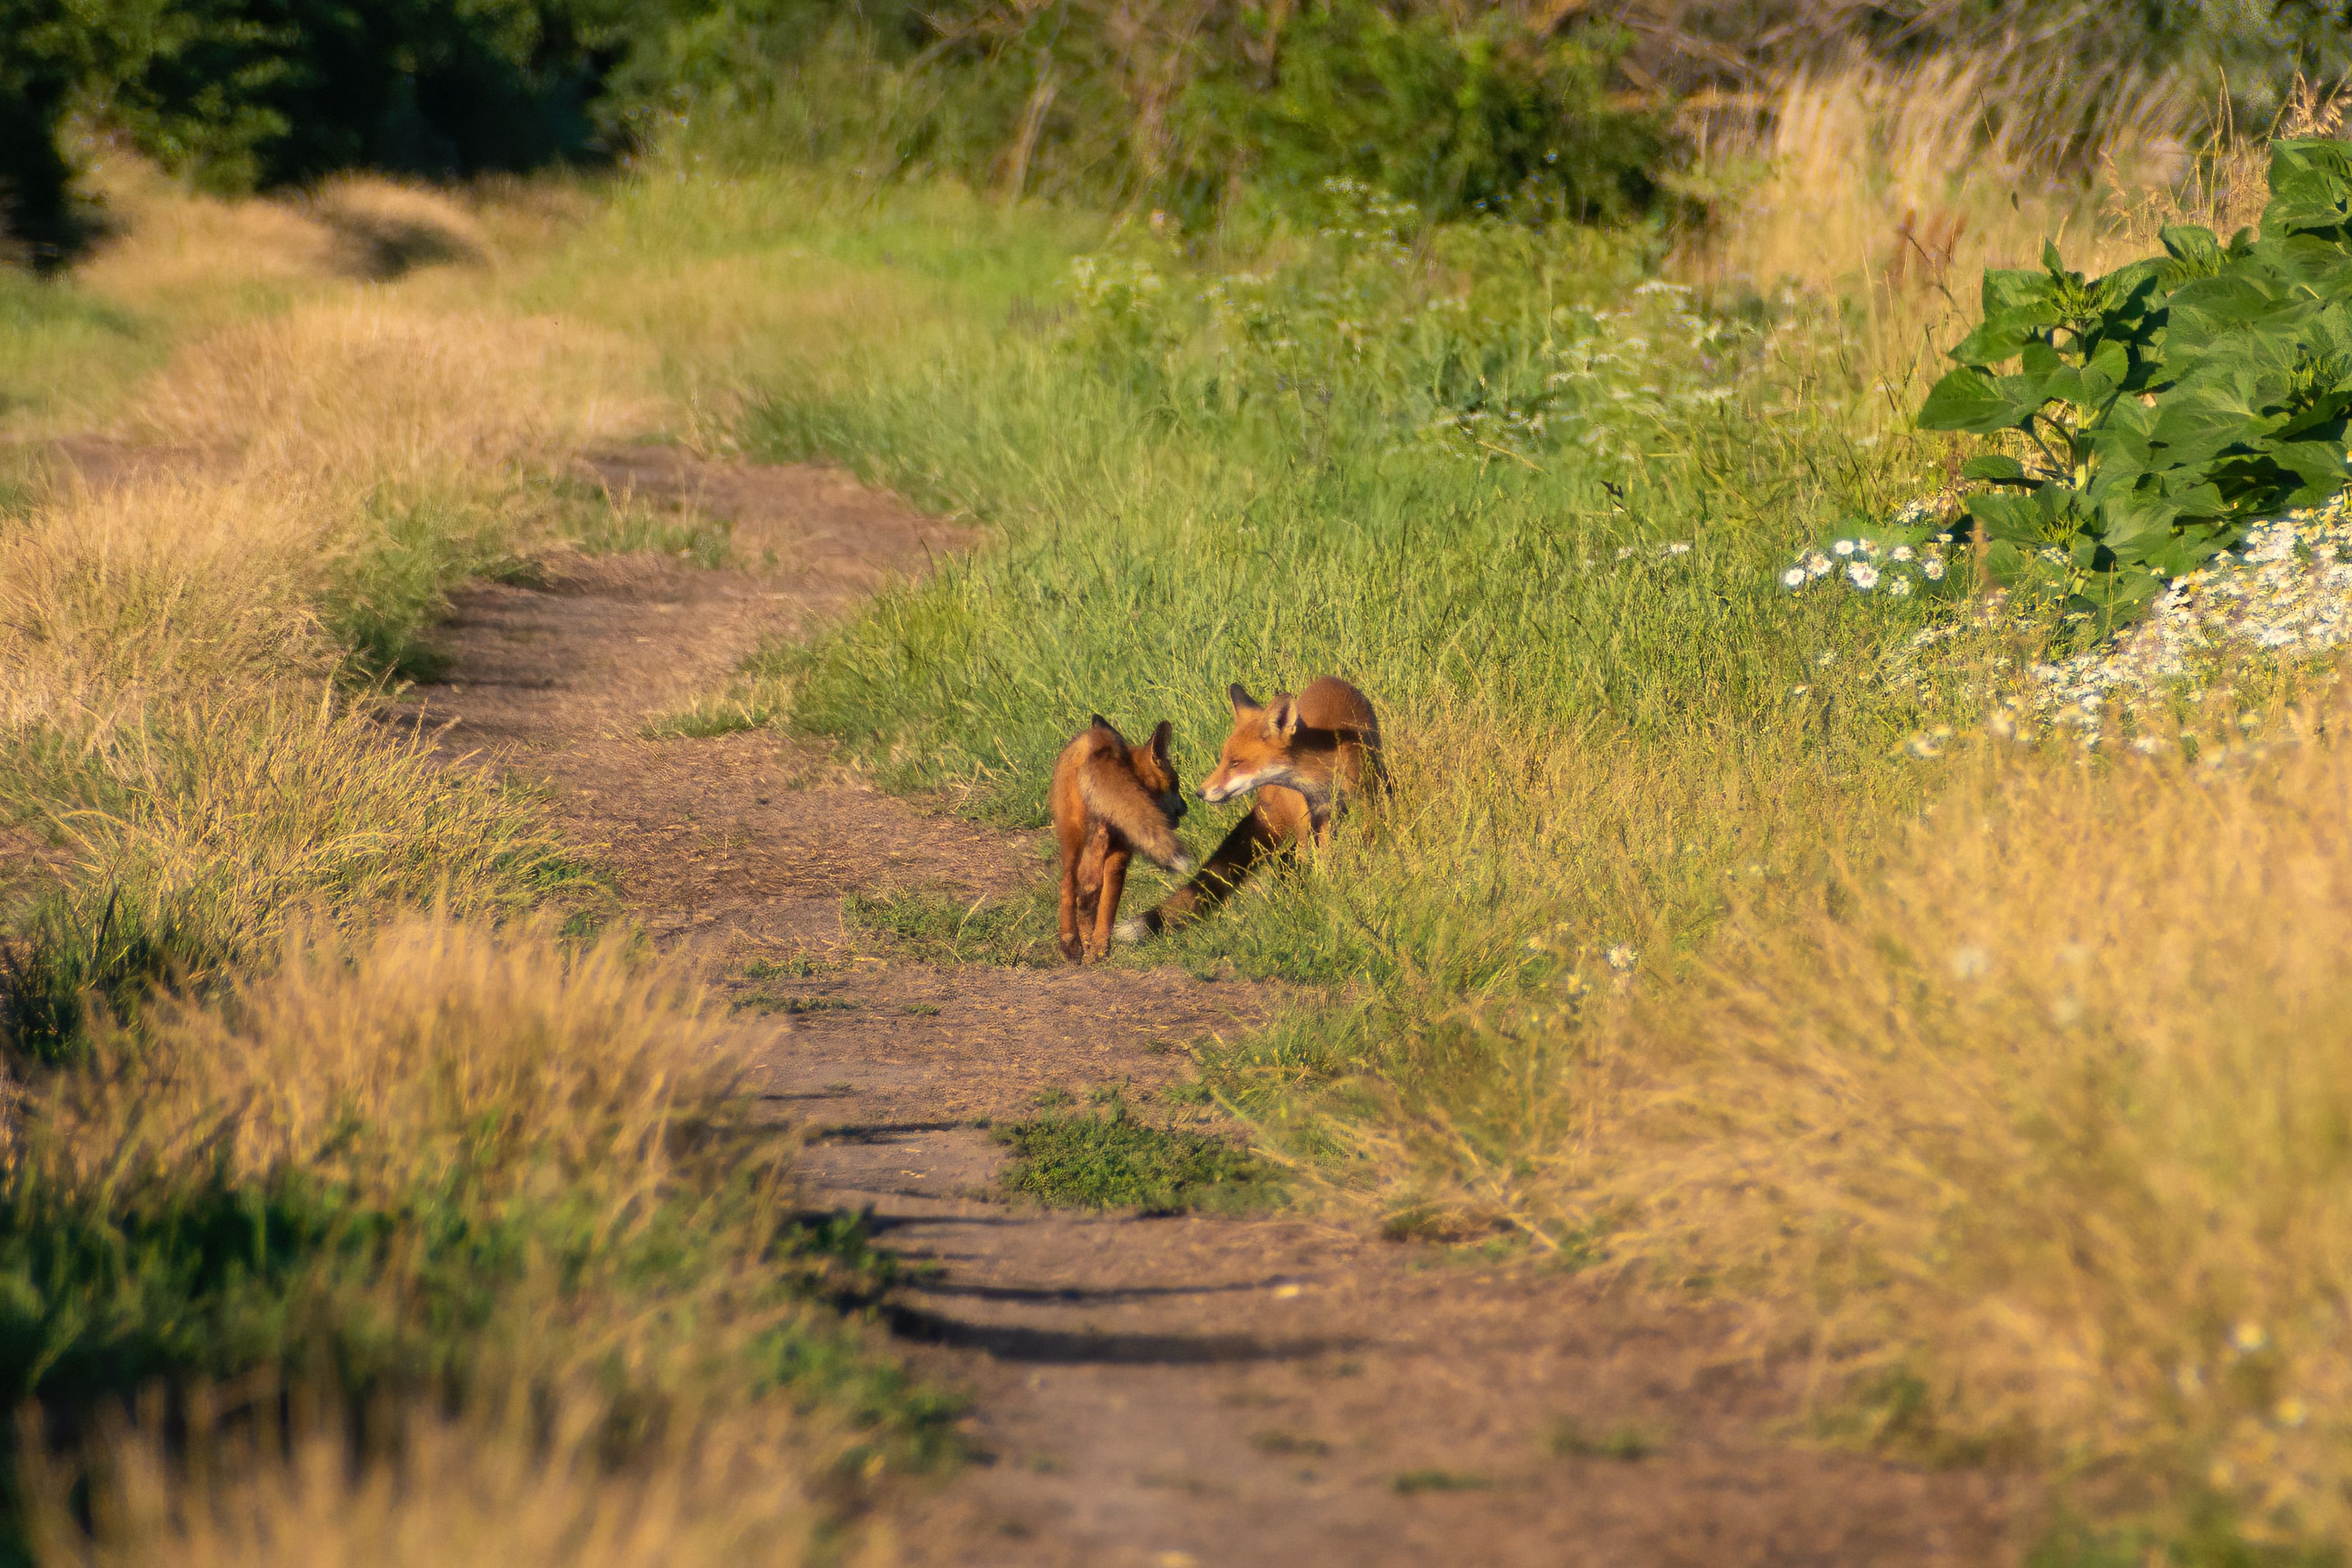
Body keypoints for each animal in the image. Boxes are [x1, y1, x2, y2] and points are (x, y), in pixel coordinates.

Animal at [1050, 715, 1196, 962]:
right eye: (1176, 785)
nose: (1186, 808)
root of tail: (1097, 748)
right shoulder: (1123, 851)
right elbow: (1109, 901)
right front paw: (1099, 947)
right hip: (1107, 840)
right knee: (1094, 890)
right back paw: (1098, 949)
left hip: (1071, 834)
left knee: (1070, 885)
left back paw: (1073, 945)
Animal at [1118, 675, 1383, 942]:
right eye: (1224, 760)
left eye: (1236, 763)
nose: (1199, 793)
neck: (1322, 775)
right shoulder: (1317, 816)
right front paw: (1330, 898)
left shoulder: (1365, 803)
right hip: (1302, 822)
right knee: (1295, 857)